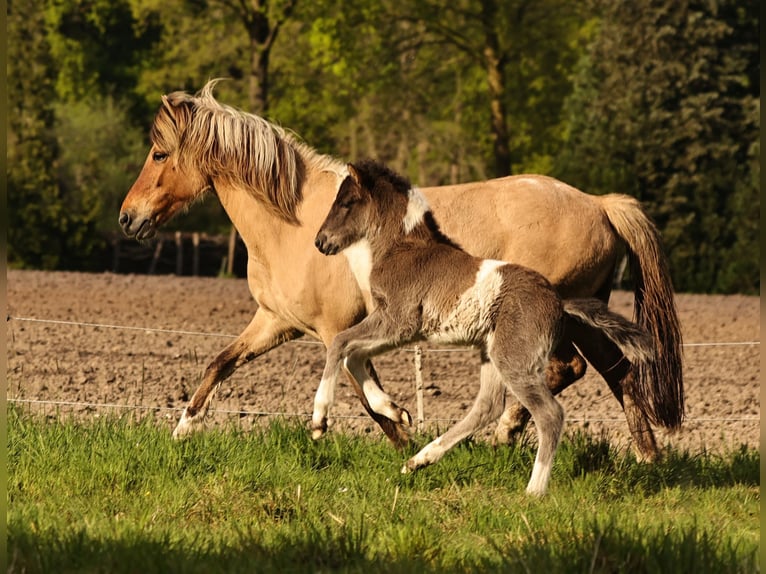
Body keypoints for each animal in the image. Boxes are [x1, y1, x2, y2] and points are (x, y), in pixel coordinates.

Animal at [118, 80, 683, 461]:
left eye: (159, 153)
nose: (128, 218)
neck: (296, 223)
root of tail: (599, 203)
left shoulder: (337, 326)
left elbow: (356, 378)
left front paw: (399, 428)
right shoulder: (276, 322)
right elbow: (221, 363)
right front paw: (182, 429)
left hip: (557, 316)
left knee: (575, 370)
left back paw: (511, 433)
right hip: (586, 313)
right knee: (618, 370)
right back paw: (643, 456)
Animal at [314, 160, 655, 495]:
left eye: (346, 202)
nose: (320, 241)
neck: (405, 249)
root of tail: (559, 301)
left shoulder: (399, 321)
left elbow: (340, 344)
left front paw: (320, 420)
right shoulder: (398, 329)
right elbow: (353, 355)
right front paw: (396, 410)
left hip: (512, 359)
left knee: (550, 414)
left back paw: (534, 490)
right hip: (491, 353)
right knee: (487, 406)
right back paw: (419, 460)